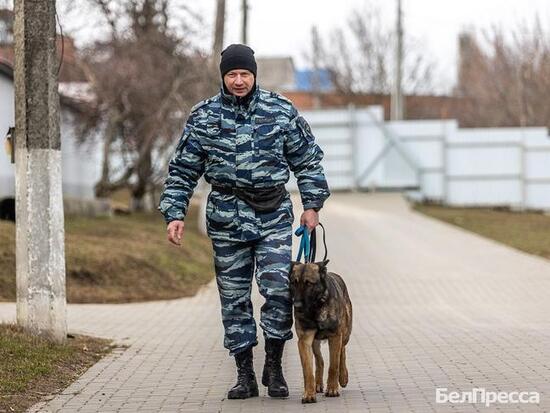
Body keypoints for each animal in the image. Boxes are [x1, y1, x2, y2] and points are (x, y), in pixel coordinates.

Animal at [288, 260, 354, 400]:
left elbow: (334, 365)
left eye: (308, 283)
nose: (297, 306)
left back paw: (343, 377)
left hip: (345, 334)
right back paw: (317, 384)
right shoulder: (304, 341)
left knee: (342, 351)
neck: (315, 308)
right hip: (315, 343)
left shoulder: (335, 336)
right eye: (294, 283)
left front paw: (333, 389)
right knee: (320, 361)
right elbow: (307, 369)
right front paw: (309, 393)